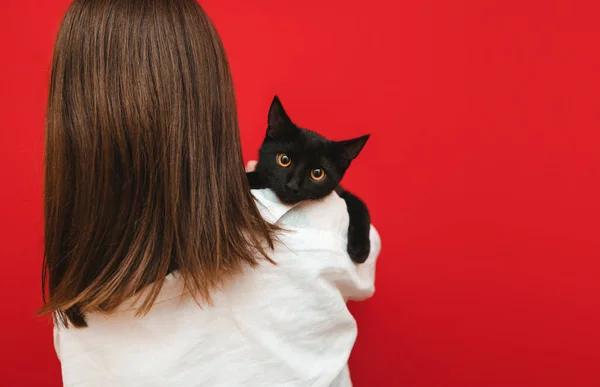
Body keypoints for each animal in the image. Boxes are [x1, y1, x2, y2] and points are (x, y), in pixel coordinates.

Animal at [247, 98, 370, 264]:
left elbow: (360, 205)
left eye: (317, 173)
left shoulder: (342, 192)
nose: (292, 186)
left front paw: (360, 248)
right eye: (284, 159)